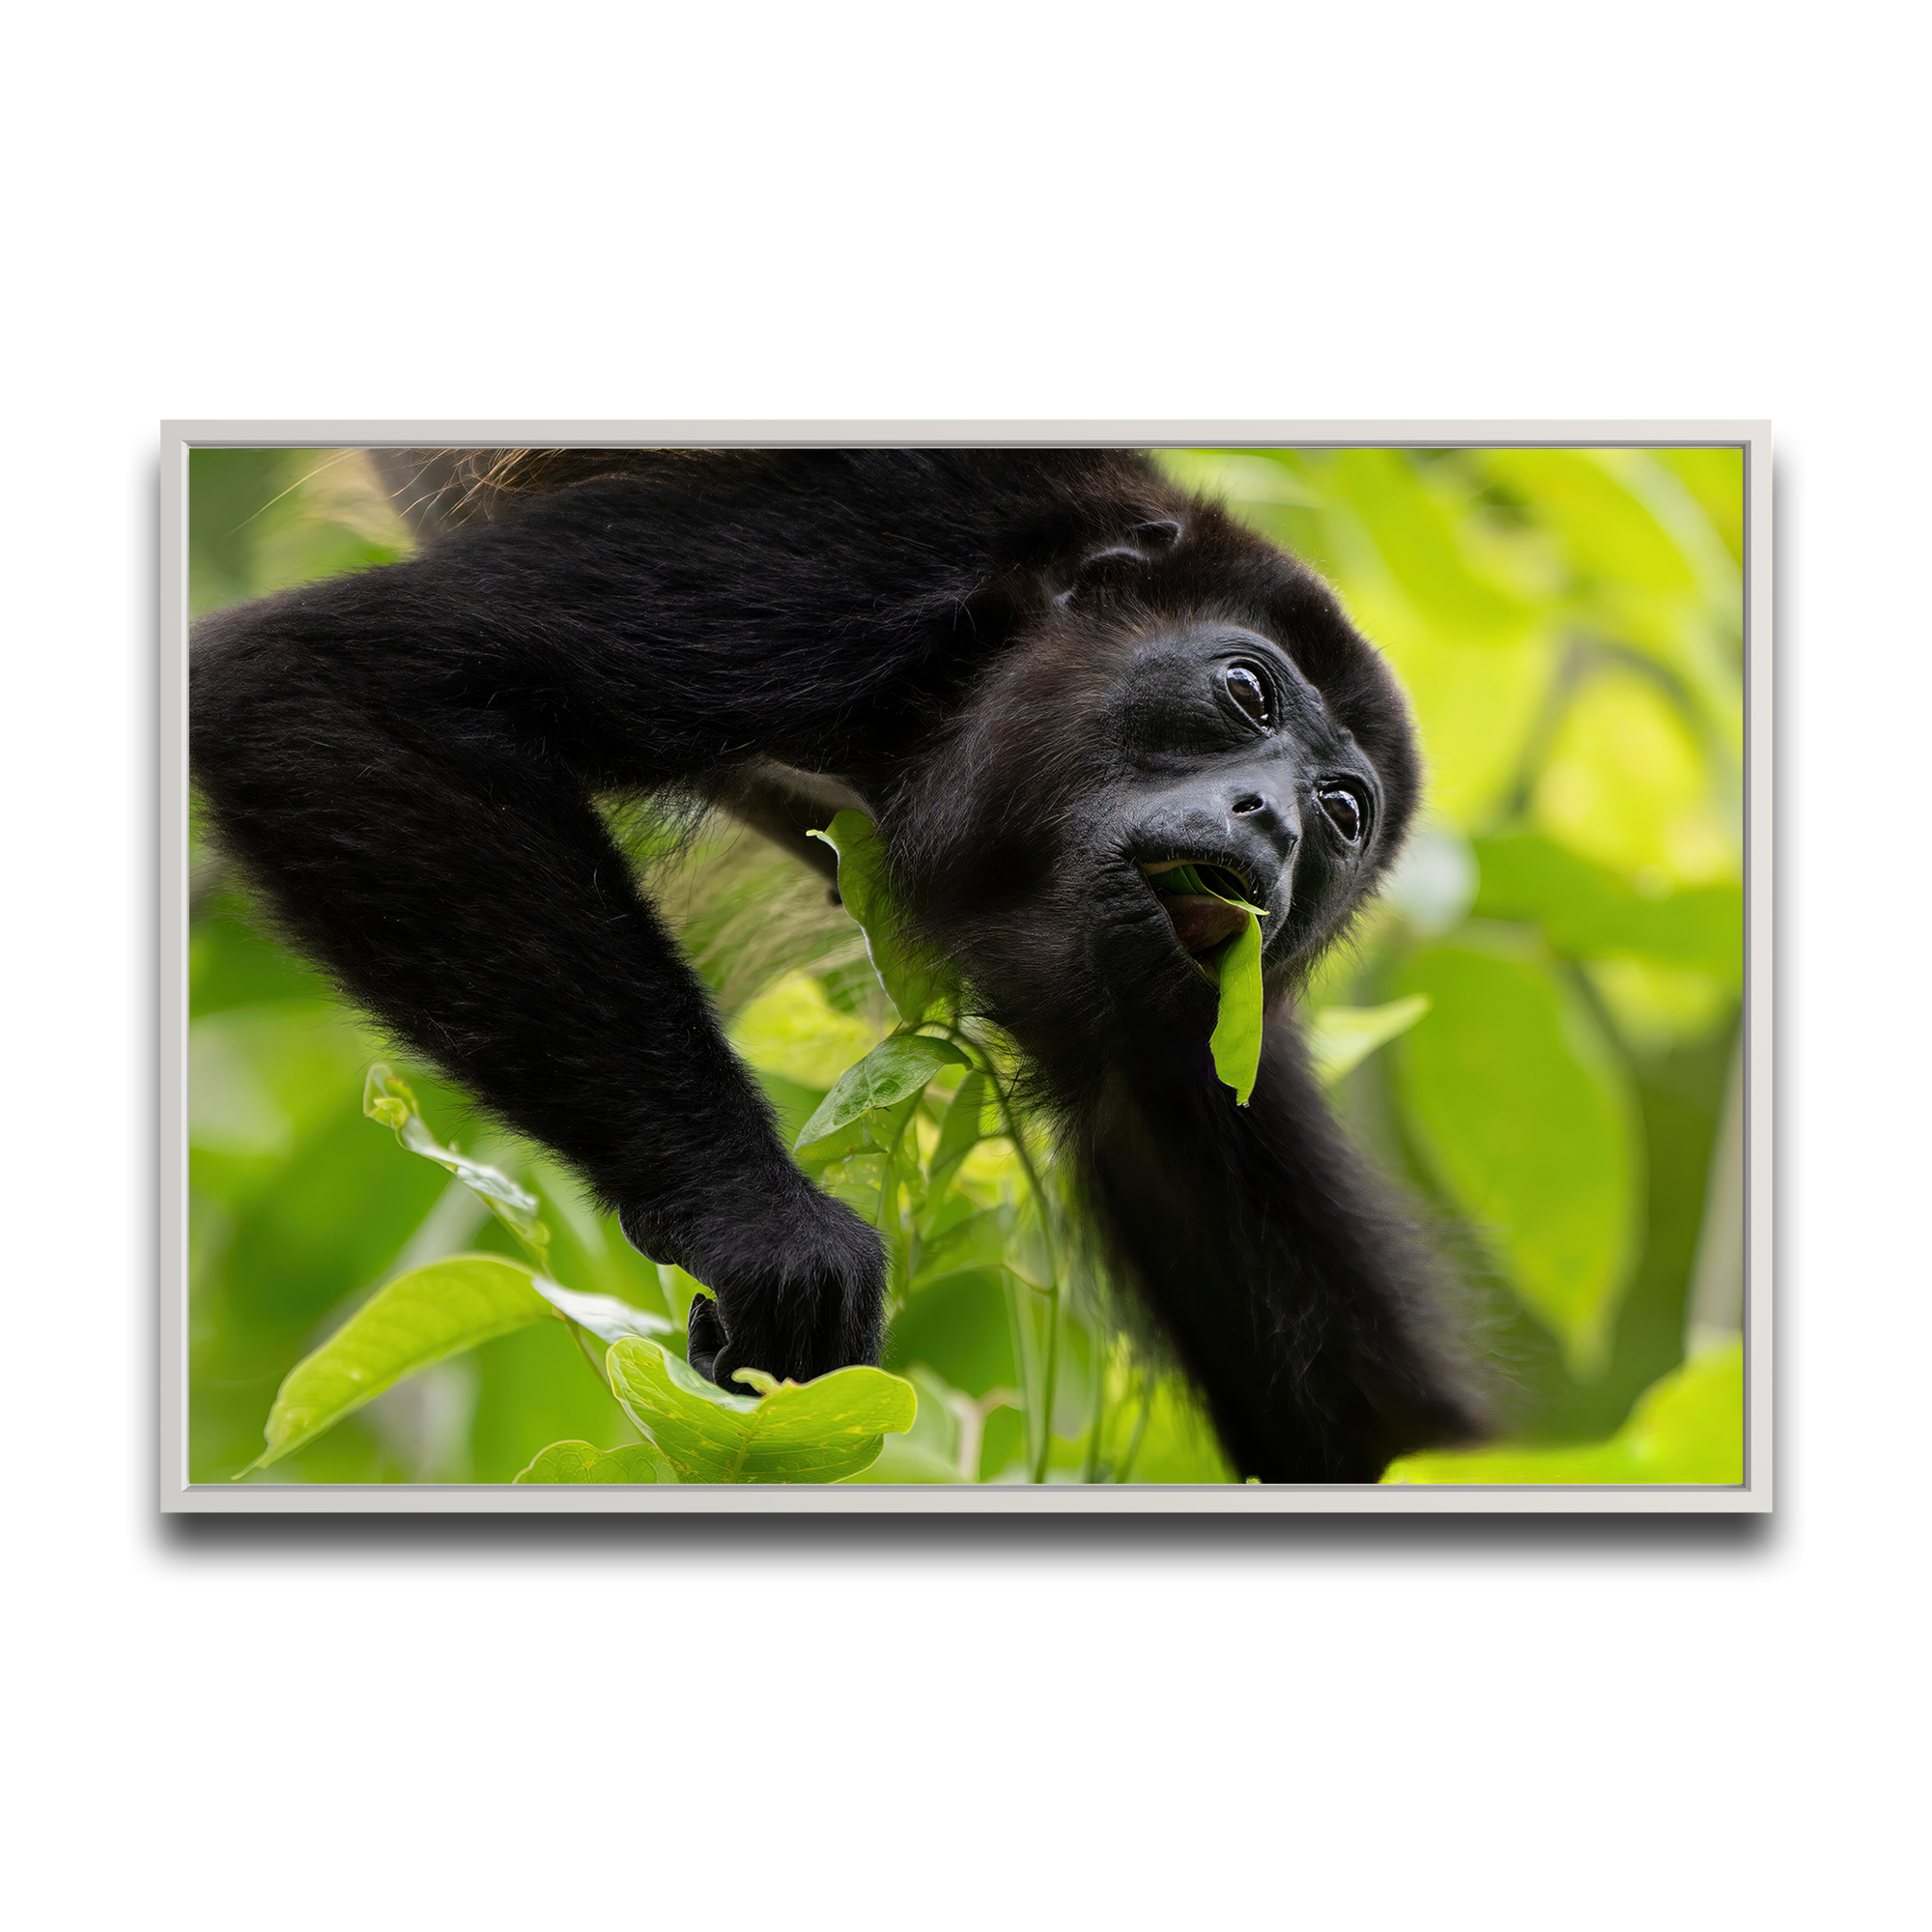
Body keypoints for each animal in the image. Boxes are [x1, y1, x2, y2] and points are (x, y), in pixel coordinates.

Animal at [192, 448, 1492, 1476]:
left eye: (1340, 812)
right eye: (1244, 689)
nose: (1275, 827)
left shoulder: (1196, 1044)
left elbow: (1363, 1412)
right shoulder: (868, 544)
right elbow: (337, 680)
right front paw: (762, 1224)